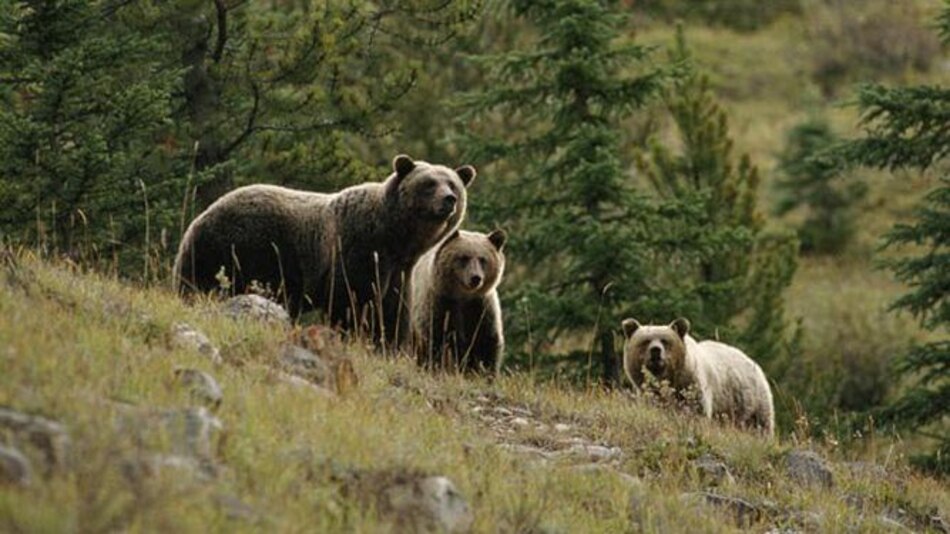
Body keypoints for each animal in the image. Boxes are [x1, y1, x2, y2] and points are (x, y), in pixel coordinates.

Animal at [173, 154, 475, 348]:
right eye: (429, 183)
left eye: (453, 183)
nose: (449, 199)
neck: (395, 238)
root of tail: (197, 220)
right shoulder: (357, 249)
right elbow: (352, 300)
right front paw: (354, 336)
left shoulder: (399, 270)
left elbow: (392, 310)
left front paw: (387, 344)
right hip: (242, 248)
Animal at [410, 229, 506, 374]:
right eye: (464, 257)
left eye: (483, 259)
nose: (475, 278)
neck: (463, 297)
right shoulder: (440, 304)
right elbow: (434, 339)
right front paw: (435, 368)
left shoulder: (481, 307)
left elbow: (487, 343)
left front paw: (486, 372)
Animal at [621, 317, 775, 436]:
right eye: (646, 341)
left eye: (665, 340)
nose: (655, 351)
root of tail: (754, 362)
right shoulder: (648, 394)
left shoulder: (693, 384)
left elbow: (697, 411)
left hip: (751, 400)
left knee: (760, 424)